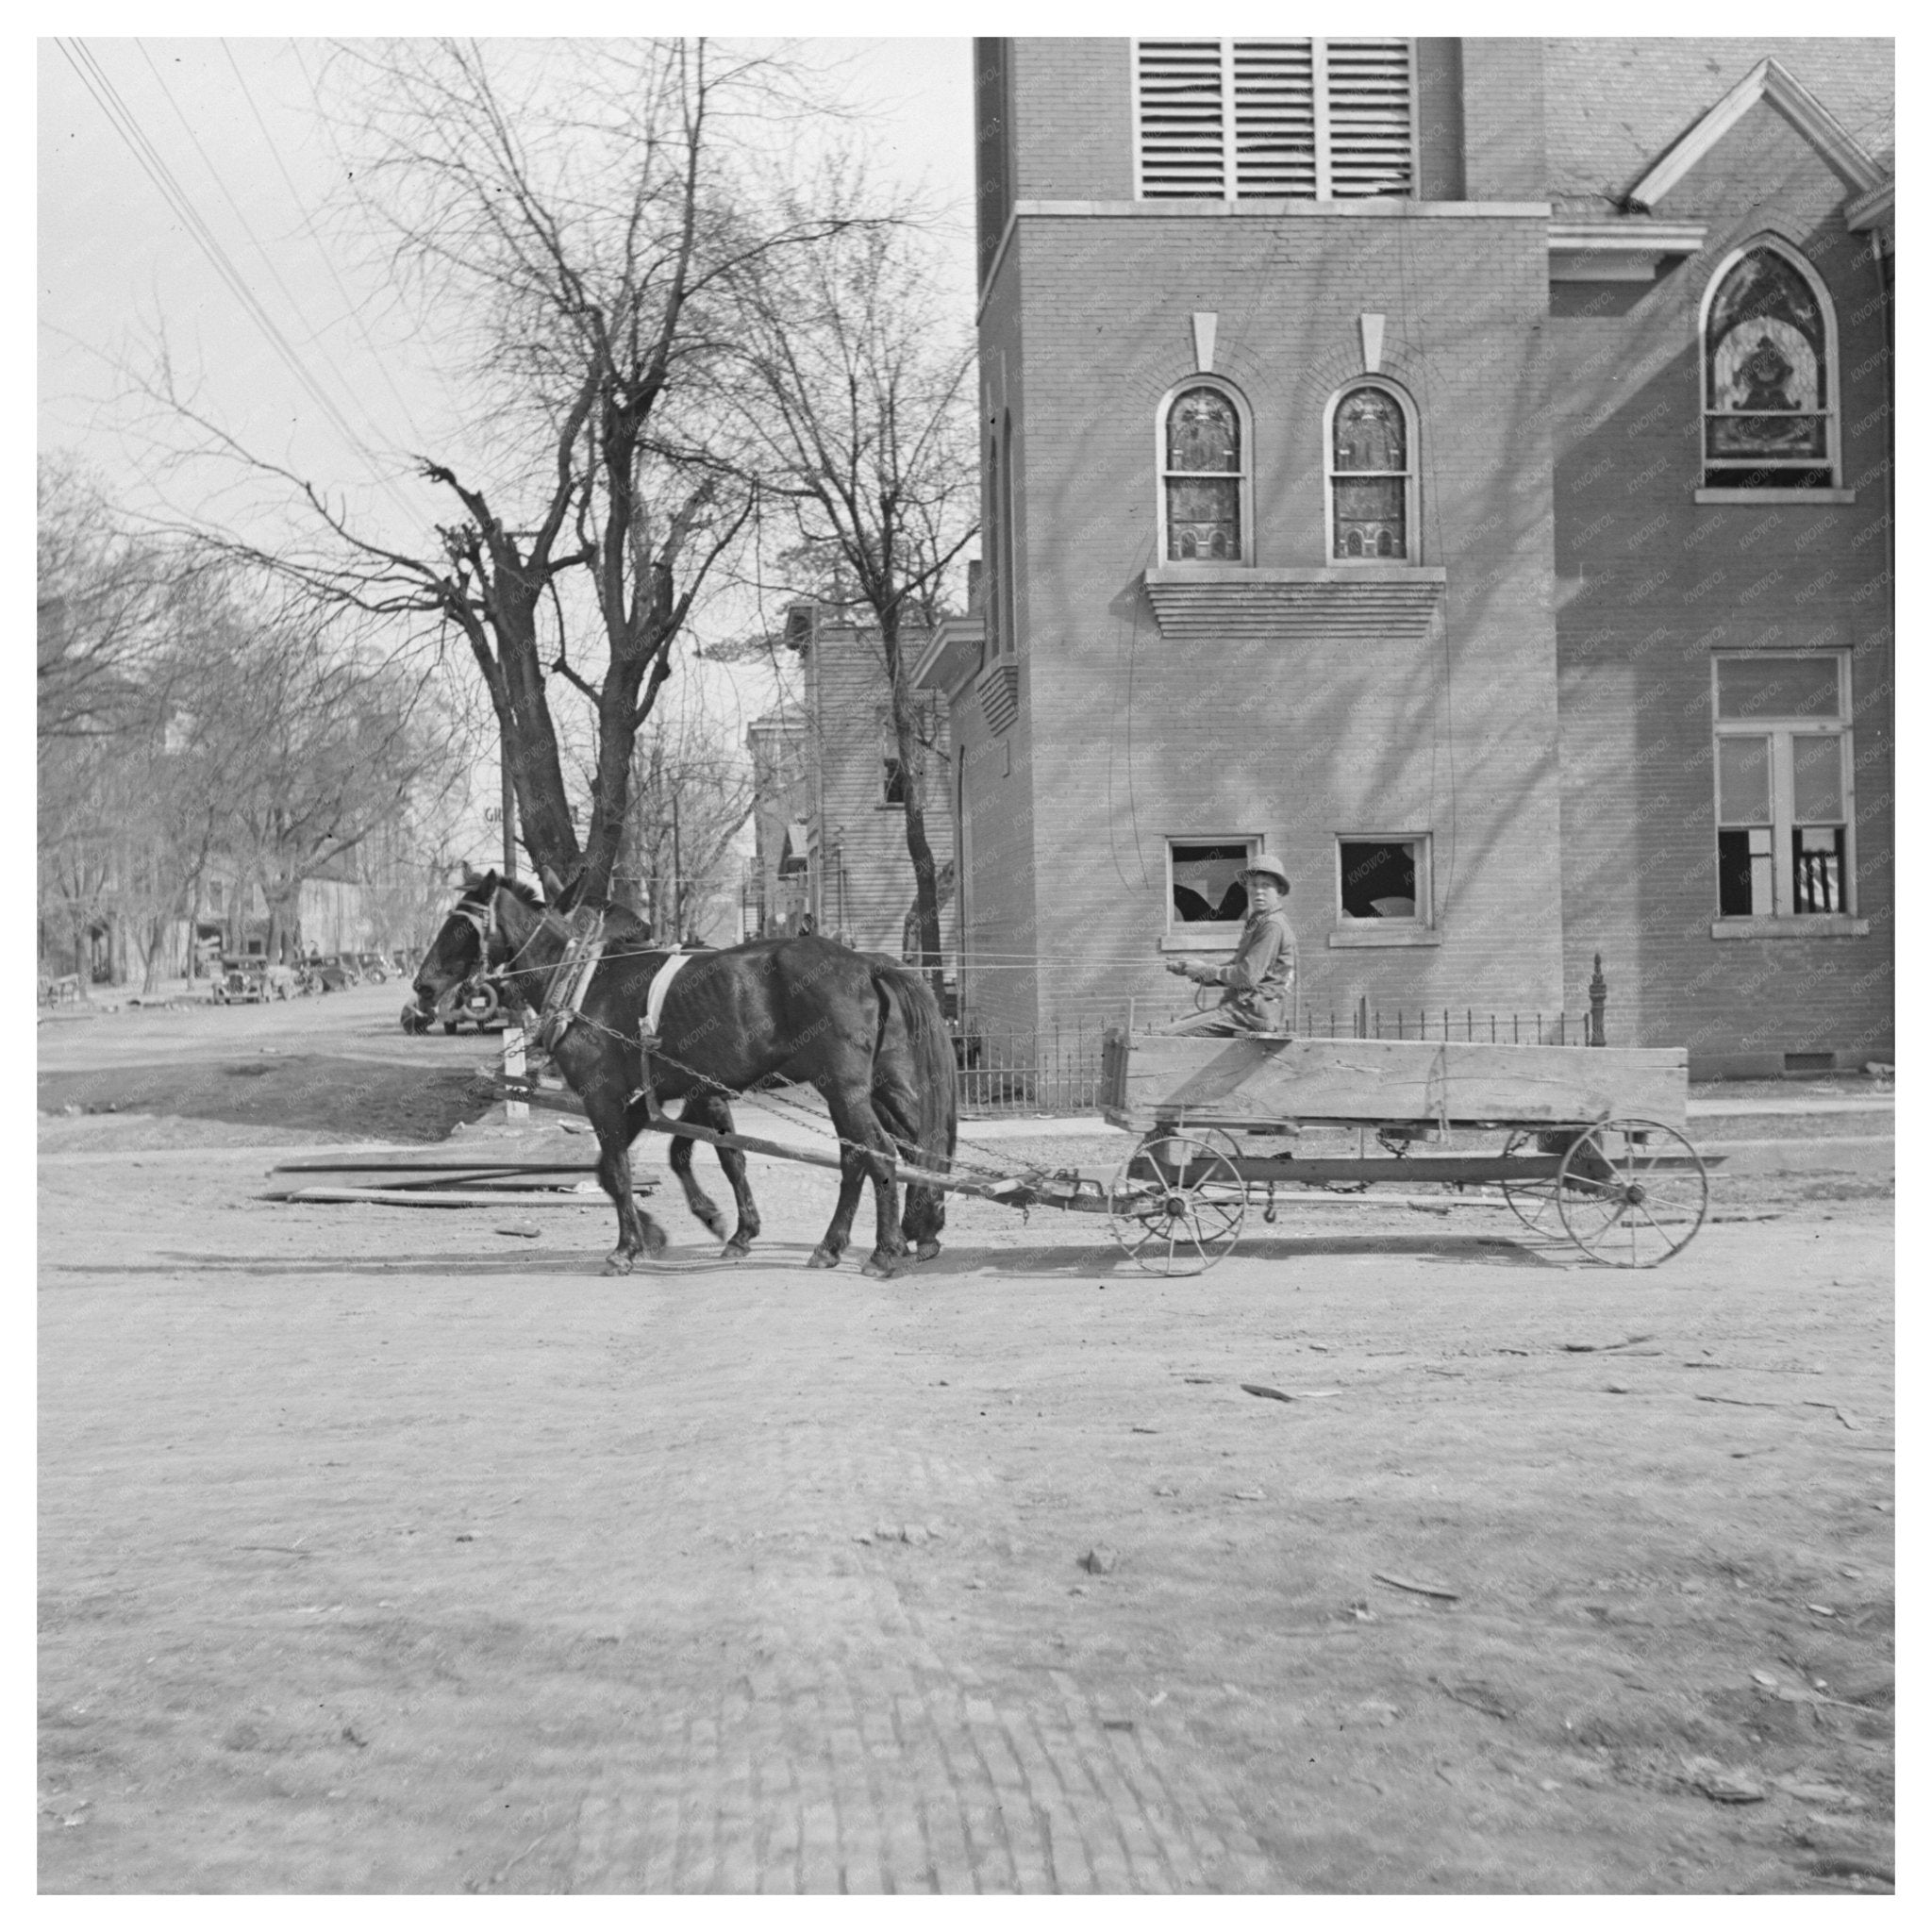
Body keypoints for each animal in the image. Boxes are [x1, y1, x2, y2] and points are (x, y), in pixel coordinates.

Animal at [411, 869, 954, 1274]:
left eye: (459, 926)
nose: (422, 985)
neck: (583, 978)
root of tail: (866, 963)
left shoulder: (604, 1095)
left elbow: (621, 1169)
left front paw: (628, 1247)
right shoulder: (664, 1095)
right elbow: (645, 1163)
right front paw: (679, 1228)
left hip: (845, 1087)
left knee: (880, 1152)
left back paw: (886, 1250)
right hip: (868, 1085)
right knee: (883, 1151)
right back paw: (865, 1239)